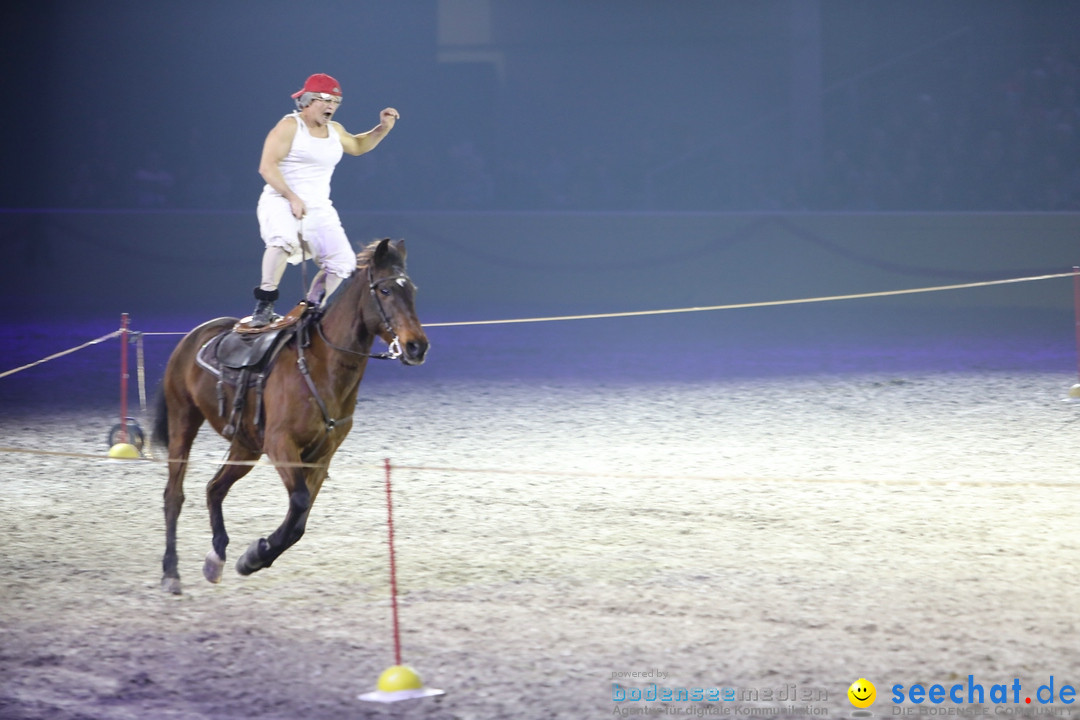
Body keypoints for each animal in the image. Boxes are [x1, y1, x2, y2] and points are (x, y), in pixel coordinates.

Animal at [153, 239, 429, 595]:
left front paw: (254, 556)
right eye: (384, 290)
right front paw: (256, 555)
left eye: (411, 290)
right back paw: (171, 572)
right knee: (174, 495)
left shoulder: (321, 457)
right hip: (183, 421)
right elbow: (298, 502)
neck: (320, 366)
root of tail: (191, 338)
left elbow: (300, 519)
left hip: (246, 444)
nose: (417, 347)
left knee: (215, 488)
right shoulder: (281, 445)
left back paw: (216, 558)